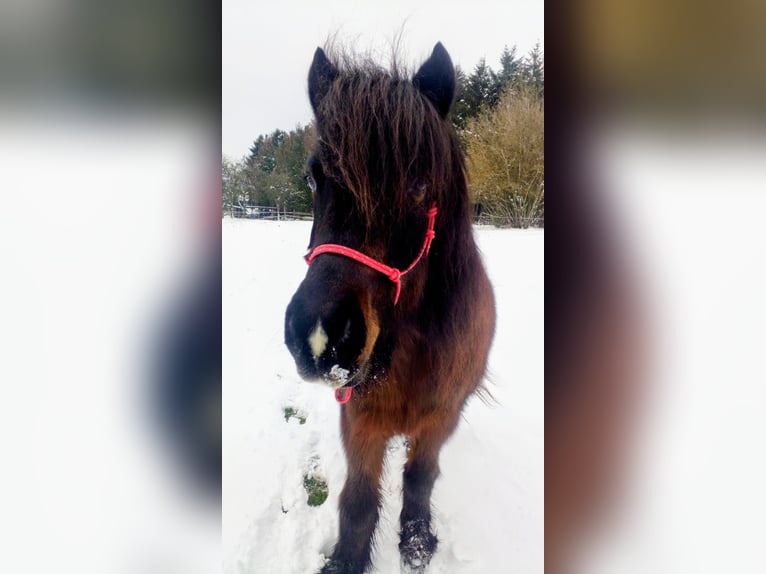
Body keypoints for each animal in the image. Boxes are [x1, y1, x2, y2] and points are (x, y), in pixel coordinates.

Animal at [284, 42, 496, 574]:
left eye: (419, 184)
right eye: (313, 178)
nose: (319, 336)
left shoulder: (441, 419)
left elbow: (420, 475)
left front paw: (416, 541)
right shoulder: (360, 419)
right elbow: (358, 499)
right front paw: (347, 560)